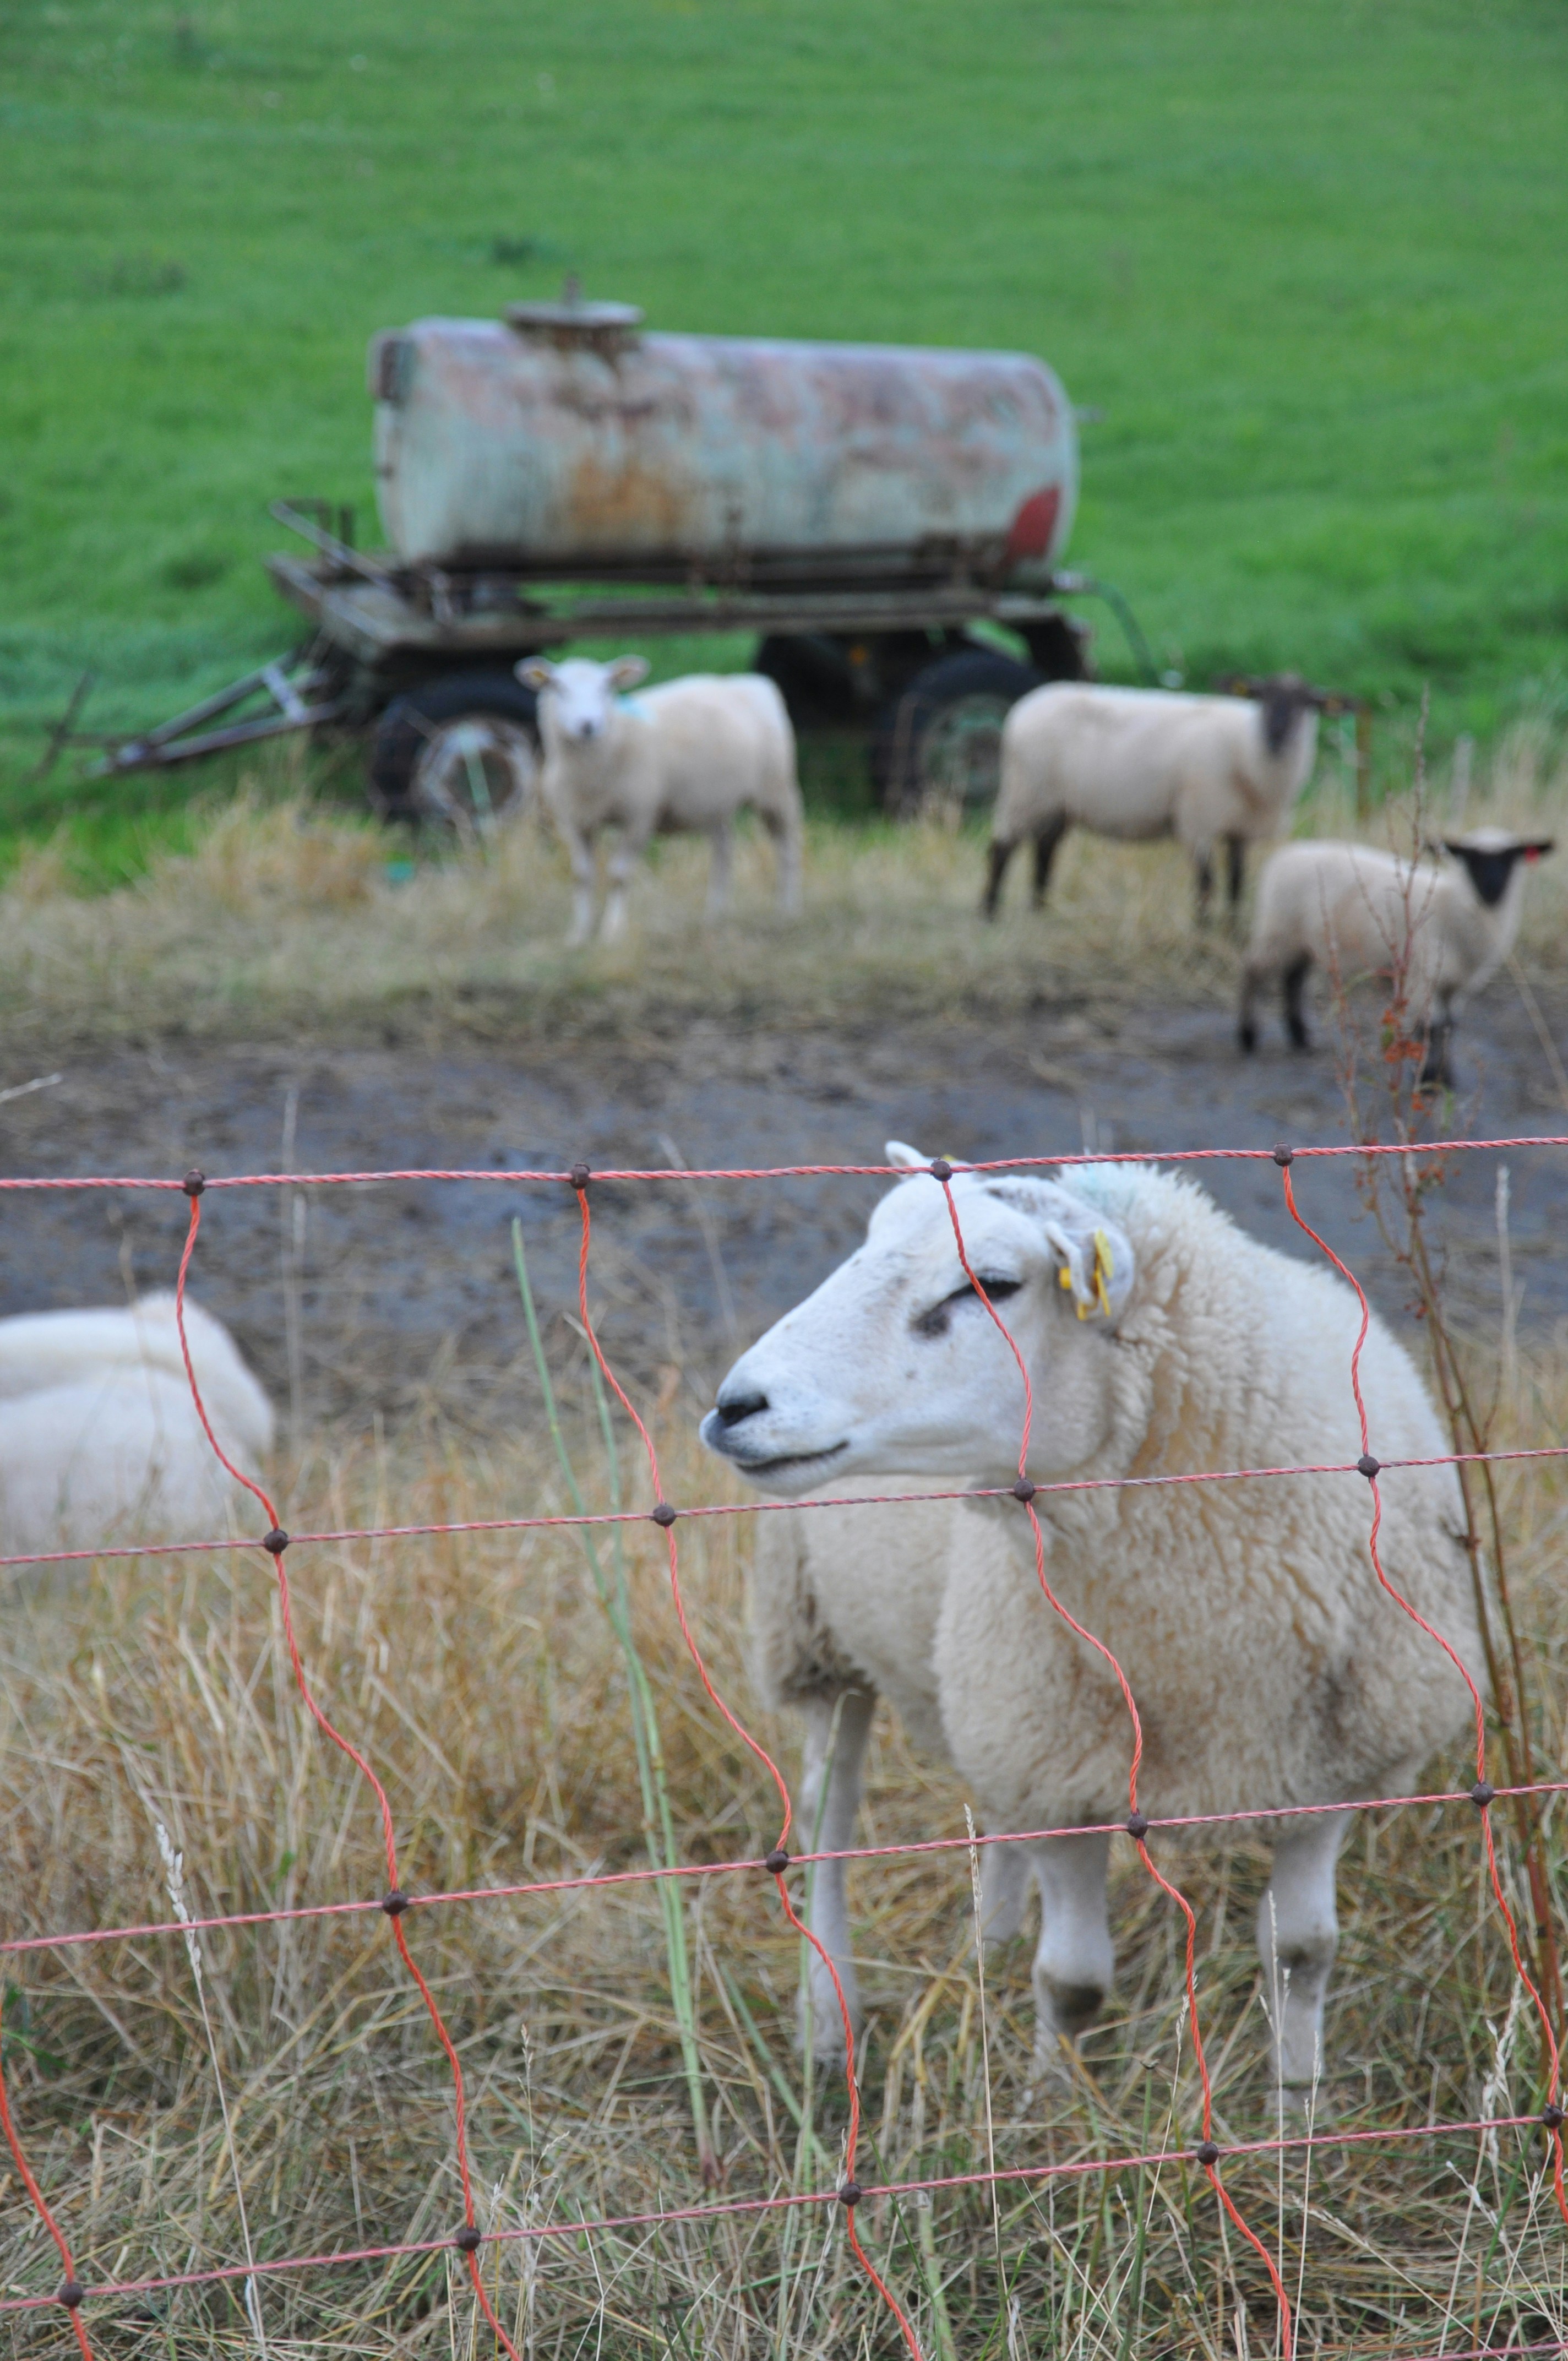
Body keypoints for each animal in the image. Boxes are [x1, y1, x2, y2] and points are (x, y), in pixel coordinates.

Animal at [517, 655, 804, 945]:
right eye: (558, 687)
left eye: (607, 687)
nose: (588, 725)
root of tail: (754, 682)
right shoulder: (575, 821)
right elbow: (582, 877)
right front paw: (579, 933)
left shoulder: (638, 817)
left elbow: (619, 876)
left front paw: (612, 932)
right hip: (715, 802)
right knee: (724, 852)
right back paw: (715, 914)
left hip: (776, 789)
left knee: (786, 848)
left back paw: (787, 910)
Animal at [703, 1147, 1483, 2093]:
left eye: (994, 1283)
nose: (736, 1405)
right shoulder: (1060, 1782)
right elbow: (1074, 1982)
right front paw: (1053, 2105)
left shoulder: (1328, 1774)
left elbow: (1304, 1954)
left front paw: (1296, 2107)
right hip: (819, 1632)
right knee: (828, 1819)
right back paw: (827, 2025)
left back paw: (991, 1944)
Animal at [982, 677, 1323, 923]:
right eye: (1261, 696)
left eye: (1307, 703)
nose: (1276, 735)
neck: (1245, 749)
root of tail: (1023, 708)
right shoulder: (1199, 819)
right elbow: (1207, 881)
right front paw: (1203, 928)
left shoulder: (1239, 828)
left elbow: (1237, 882)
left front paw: (1233, 927)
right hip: (1025, 793)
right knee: (1002, 849)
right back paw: (990, 912)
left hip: (1055, 804)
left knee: (1045, 850)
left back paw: (1039, 909)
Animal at [1239, 827, 1554, 1085]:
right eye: (1470, 858)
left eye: (1511, 858)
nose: (1492, 889)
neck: (1452, 906)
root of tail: (1285, 853)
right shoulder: (1422, 975)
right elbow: (1430, 1028)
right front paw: (1426, 1079)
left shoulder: (1458, 985)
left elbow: (1450, 1027)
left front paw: (1445, 1078)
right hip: (1278, 931)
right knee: (1253, 970)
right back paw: (1248, 1036)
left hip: (1301, 940)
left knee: (1293, 978)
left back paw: (1300, 1038)